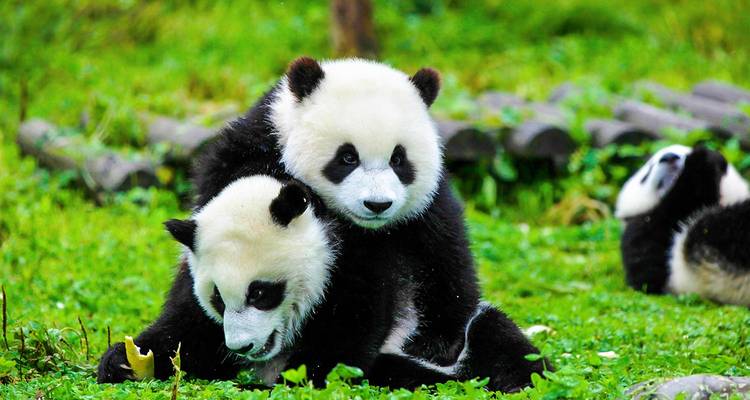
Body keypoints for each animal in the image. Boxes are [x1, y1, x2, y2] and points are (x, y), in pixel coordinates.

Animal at [98, 175, 540, 389]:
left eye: (261, 293)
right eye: (219, 300)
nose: (242, 347)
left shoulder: (353, 268)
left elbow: (337, 351)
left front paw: (268, 387)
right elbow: (186, 330)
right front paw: (123, 360)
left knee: (496, 340)